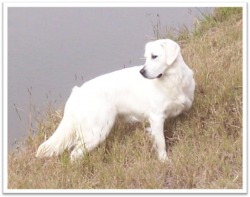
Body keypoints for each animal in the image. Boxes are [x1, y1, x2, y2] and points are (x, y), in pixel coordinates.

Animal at [35, 38, 195, 162]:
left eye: (154, 56)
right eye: (146, 57)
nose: (142, 72)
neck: (173, 81)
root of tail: (77, 92)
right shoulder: (156, 117)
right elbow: (161, 142)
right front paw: (164, 161)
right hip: (97, 131)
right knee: (75, 153)